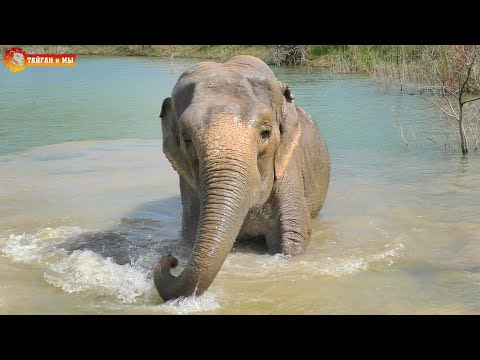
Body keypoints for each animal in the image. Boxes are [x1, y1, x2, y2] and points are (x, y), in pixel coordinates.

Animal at [154, 54, 330, 300]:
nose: (171, 260)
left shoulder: (287, 167)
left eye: (266, 133)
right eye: (186, 140)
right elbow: (191, 235)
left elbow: (294, 235)